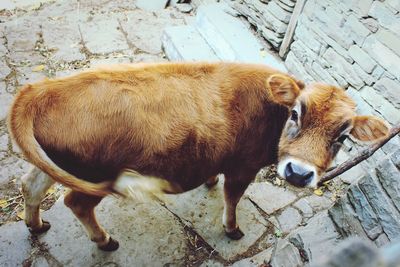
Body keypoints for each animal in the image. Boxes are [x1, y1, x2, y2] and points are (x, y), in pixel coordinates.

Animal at [7, 62, 390, 251]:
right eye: (295, 113)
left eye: (342, 136)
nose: (298, 173)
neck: (271, 111)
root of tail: (40, 90)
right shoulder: (243, 167)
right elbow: (233, 198)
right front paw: (232, 229)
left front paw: (209, 181)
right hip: (92, 177)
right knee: (77, 203)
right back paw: (104, 241)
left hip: (55, 165)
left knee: (31, 185)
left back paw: (36, 225)